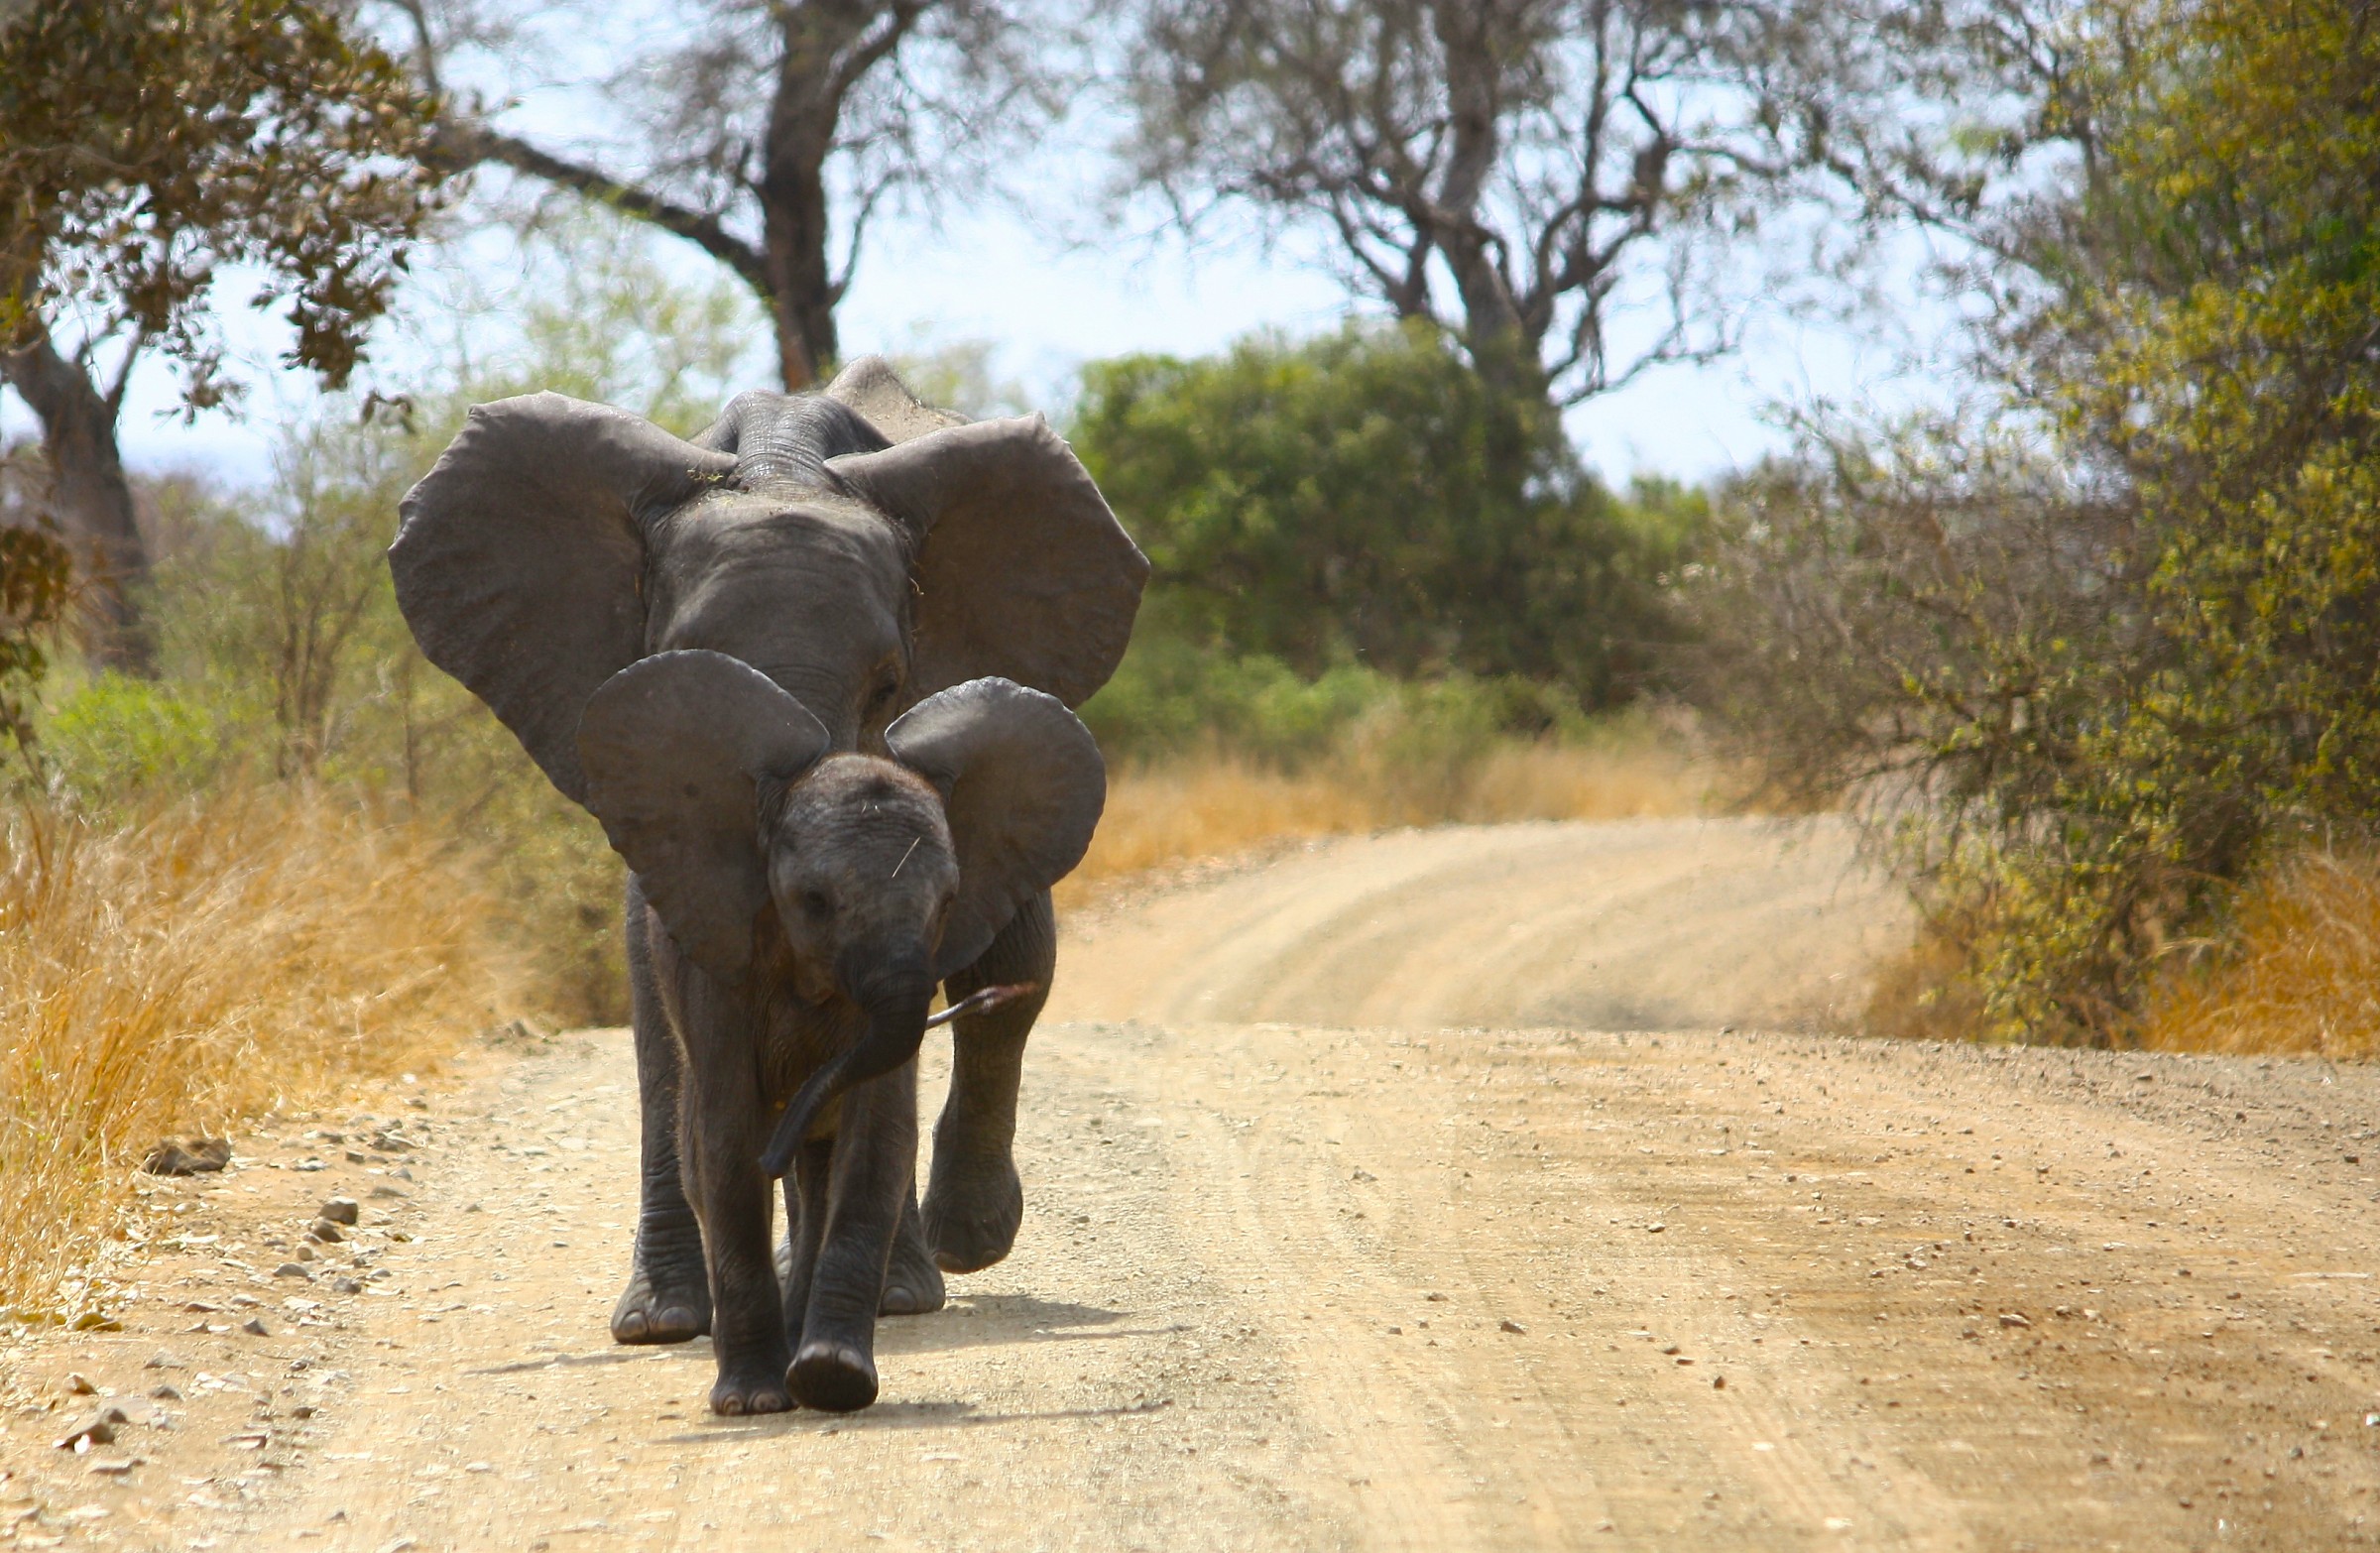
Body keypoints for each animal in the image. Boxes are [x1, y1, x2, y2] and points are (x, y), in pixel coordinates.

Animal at [387, 359, 1147, 1412]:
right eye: (680, 666)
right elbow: (662, 988)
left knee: (1016, 964)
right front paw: (665, 1322)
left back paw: (936, 1260)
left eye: (887, 685)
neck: (781, 460)